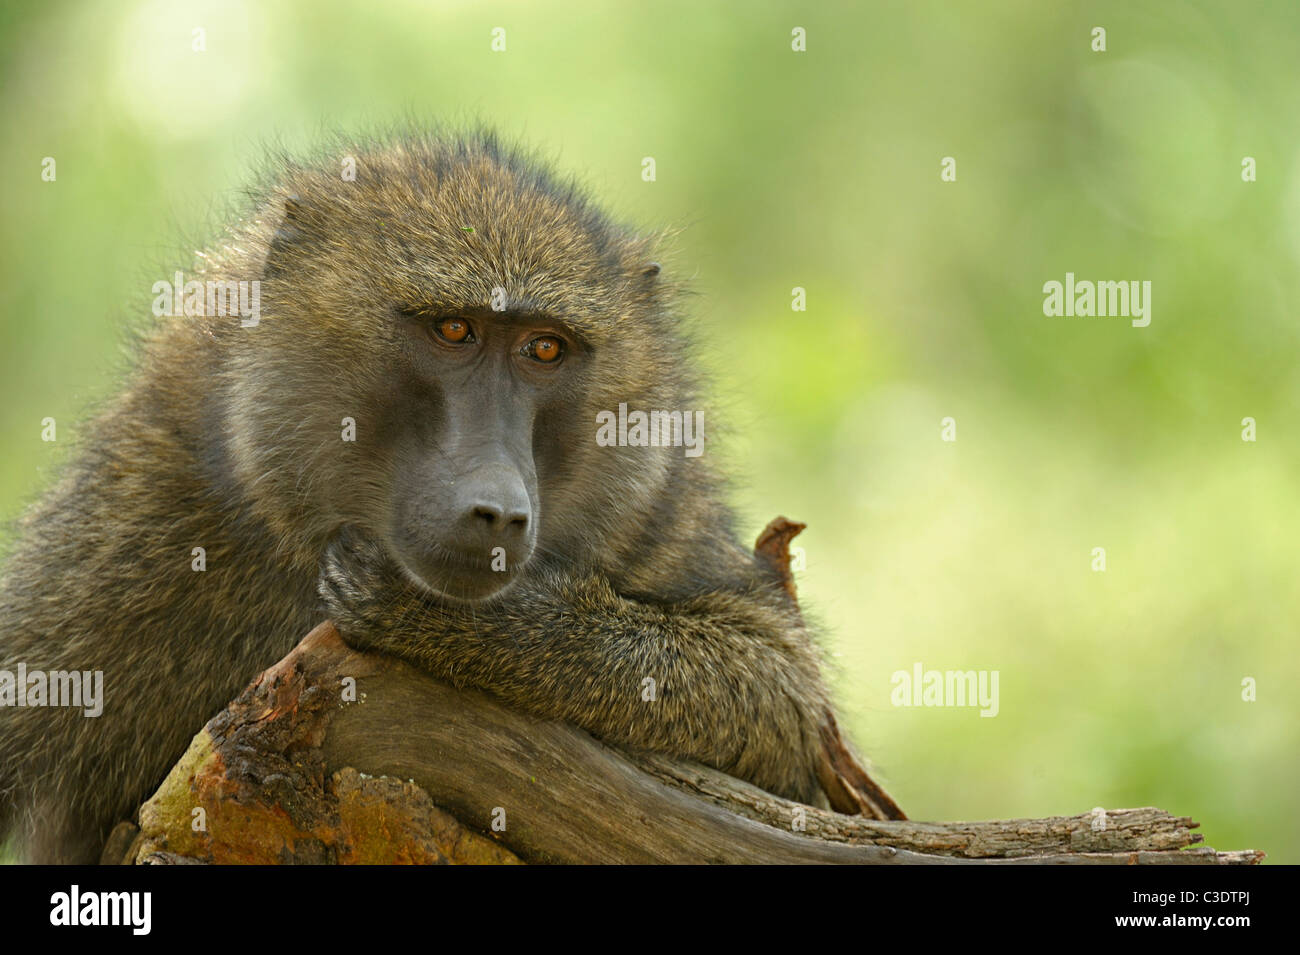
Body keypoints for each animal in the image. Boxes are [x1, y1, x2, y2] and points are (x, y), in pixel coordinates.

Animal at [0, 129, 898, 864]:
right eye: (454, 331)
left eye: (544, 348)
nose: (498, 509)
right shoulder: (141, 505)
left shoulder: (652, 511)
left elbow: (783, 698)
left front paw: (446, 621)